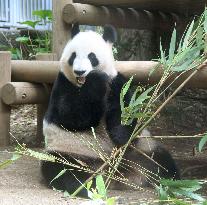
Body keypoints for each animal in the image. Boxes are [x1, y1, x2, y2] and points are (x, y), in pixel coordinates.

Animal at [40, 23, 180, 197]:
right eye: (73, 56)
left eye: (92, 56)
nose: (79, 72)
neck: (82, 84)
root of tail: (114, 173)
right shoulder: (63, 83)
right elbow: (71, 116)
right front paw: (95, 81)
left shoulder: (116, 82)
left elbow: (126, 112)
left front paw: (120, 135)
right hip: (69, 151)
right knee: (62, 169)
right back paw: (89, 186)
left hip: (142, 149)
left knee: (162, 160)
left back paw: (172, 181)